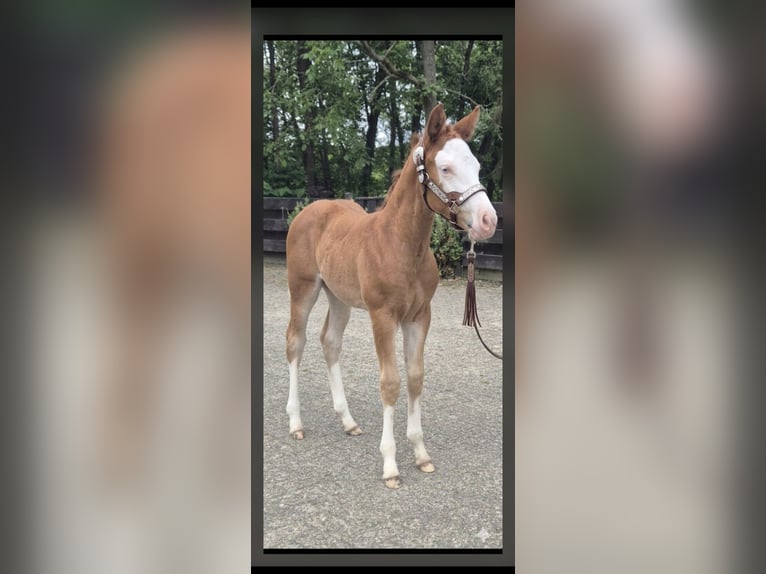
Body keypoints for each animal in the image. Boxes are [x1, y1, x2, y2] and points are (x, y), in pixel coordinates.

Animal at [284, 103, 498, 489]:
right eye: (445, 168)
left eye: (475, 165)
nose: (489, 221)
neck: (402, 244)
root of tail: (309, 209)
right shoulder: (382, 315)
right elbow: (390, 382)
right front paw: (390, 465)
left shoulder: (419, 316)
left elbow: (414, 377)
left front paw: (421, 453)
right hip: (304, 287)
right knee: (296, 341)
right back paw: (296, 422)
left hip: (339, 296)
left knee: (330, 341)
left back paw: (348, 421)